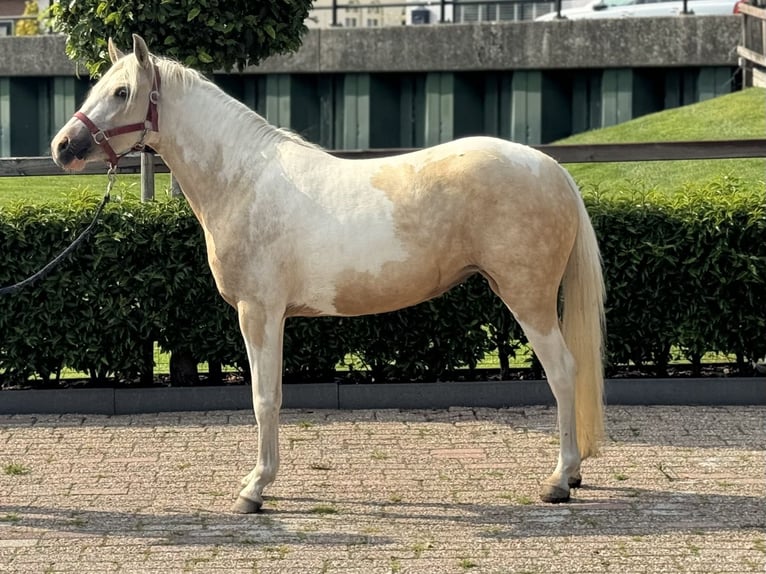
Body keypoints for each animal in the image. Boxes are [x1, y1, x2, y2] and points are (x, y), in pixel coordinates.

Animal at [51, 35, 605, 514]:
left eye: (121, 92)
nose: (62, 147)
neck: (245, 181)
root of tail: (552, 169)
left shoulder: (259, 313)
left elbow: (264, 398)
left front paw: (255, 488)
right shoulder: (271, 316)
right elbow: (272, 395)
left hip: (528, 300)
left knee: (563, 372)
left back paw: (560, 480)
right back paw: (574, 474)